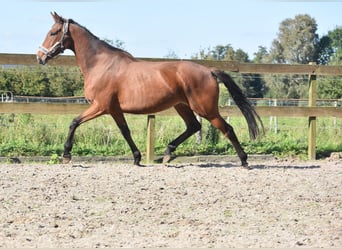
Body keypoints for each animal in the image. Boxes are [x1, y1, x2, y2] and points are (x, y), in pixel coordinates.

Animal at [36, 12, 264, 168]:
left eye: (53, 32)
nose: (40, 57)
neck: (101, 64)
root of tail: (209, 71)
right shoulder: (114, 109)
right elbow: (125, 131)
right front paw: (137, 158)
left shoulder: (101, 106)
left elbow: (74, 122)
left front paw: (66, 155)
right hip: (182, 106)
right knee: (193, 126)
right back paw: (167, 153)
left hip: (206, 109)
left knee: (227, 129)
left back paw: (244, 161)